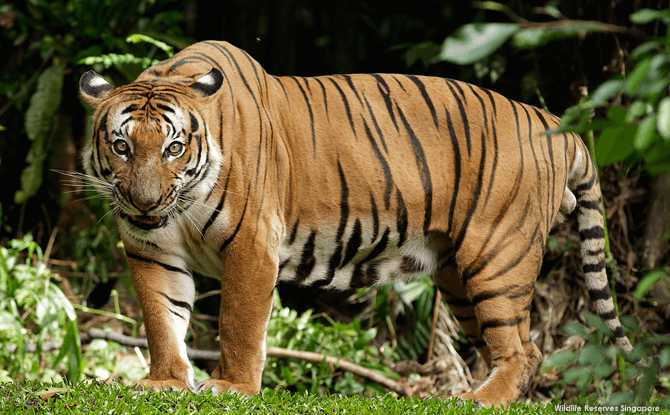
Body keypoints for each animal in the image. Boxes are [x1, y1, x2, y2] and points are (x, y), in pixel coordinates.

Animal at [80, 40, 636, 408]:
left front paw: (230, 386)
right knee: (516, 349)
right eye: (121, 146)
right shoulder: (151, 249)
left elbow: (238, 323)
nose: (145, 201)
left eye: (174, 147)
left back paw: (478, 400)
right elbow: (162, 319)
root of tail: (555, 124)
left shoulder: (251, 245)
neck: (180, 206)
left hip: (497, 257)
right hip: (459, 279)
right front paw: (167, 382)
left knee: (525, 349)